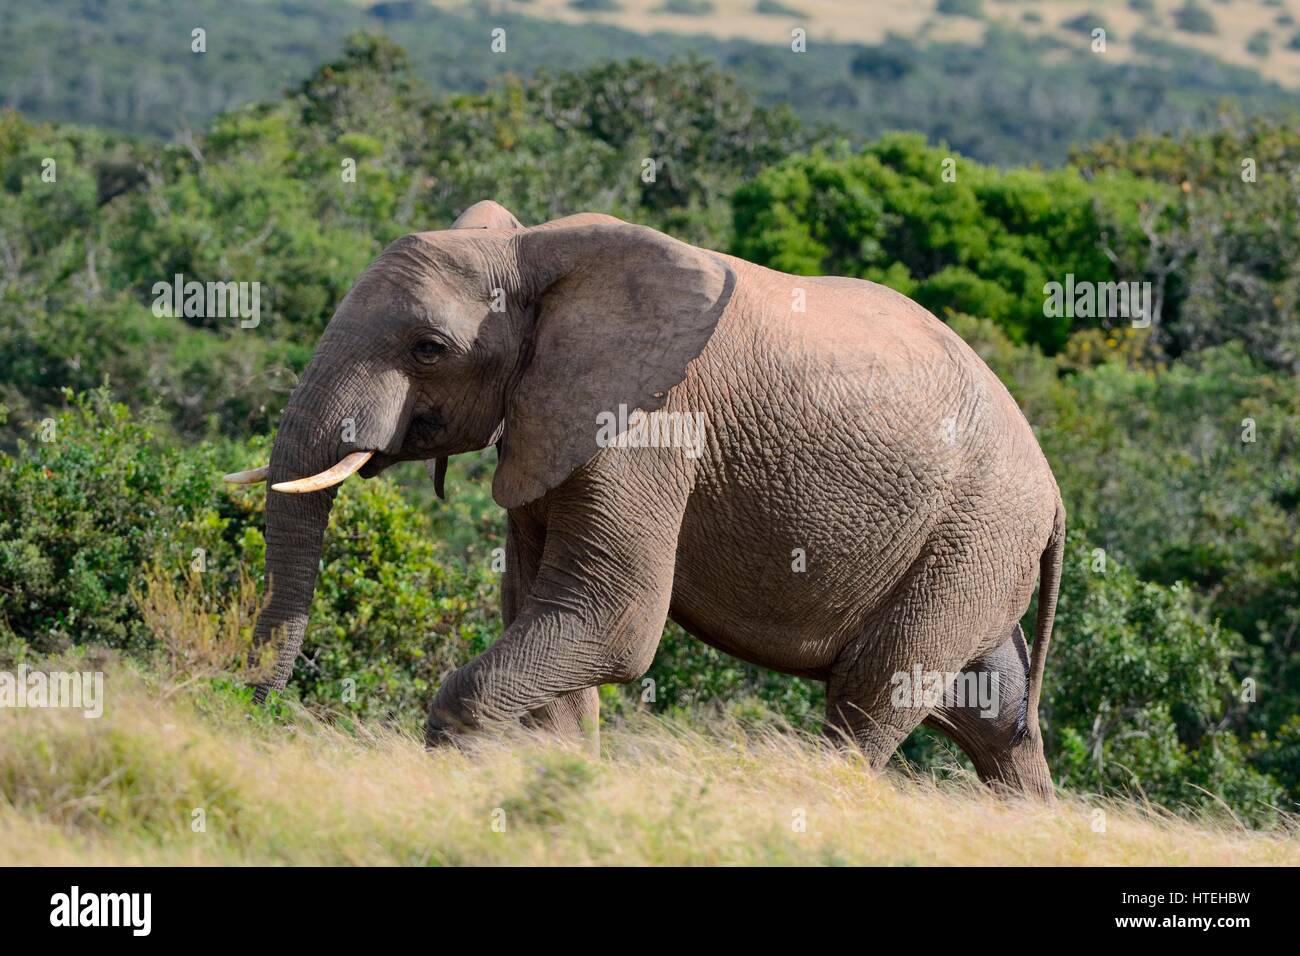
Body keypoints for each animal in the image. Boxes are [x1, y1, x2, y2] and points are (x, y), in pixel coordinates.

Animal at [226, 200, 1066, 801]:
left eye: (428, 349)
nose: (251, 715)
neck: (532, 254)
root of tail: (1056, 495)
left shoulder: (649, 427)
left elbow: (613, 619)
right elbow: (538, 607)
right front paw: (557, 778)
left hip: (975, 535)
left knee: (874, 694)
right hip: (976, 551)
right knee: (994, 717)